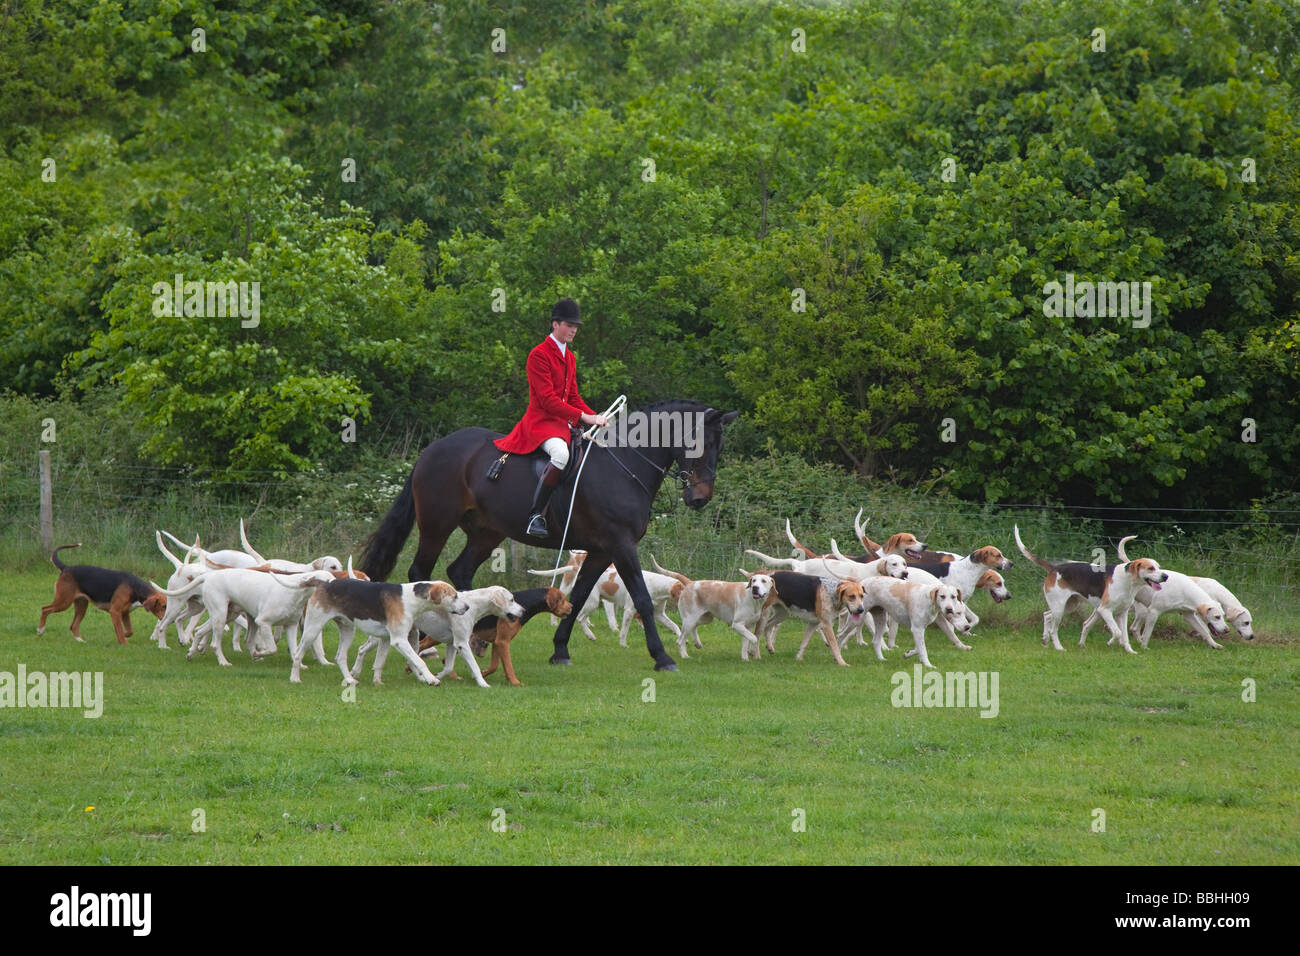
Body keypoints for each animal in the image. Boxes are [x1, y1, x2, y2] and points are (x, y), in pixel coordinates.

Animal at [361, 400, 738, 671]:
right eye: (700, 443)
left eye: (720, 447)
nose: (700, 498)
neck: (624, 466)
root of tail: (432, 449)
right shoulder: (621, 545)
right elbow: (642, 599)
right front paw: (662, 657)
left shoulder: (601, 551)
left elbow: (578, 597)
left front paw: (560, 650)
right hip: (437, 525)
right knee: (420, 573)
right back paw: (423, 644)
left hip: (486, 532)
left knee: (460, 570)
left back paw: (478, 634)